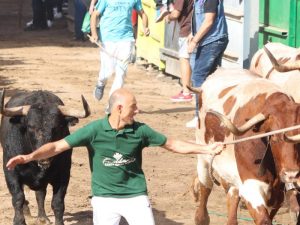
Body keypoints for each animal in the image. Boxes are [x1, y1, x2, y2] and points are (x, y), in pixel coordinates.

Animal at [1, 89, 90, 225]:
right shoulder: (10, 172)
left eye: (57, 127)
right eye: (30, 126)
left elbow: (57, 203)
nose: (44, 158)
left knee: (41, 193)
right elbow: (18, 198)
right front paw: (19, 221)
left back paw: (42, 217)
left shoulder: (64, 174)